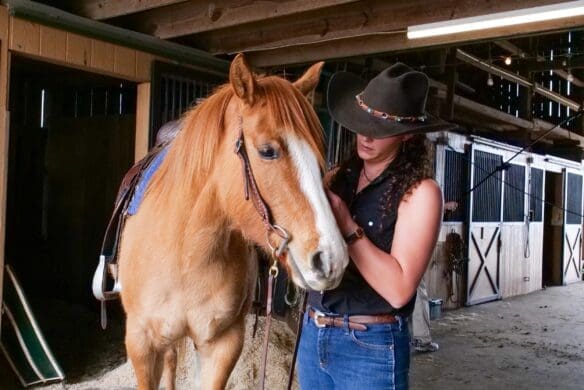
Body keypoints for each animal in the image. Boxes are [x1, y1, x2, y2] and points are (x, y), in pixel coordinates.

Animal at [116, 52, 350, 390]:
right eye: (267, 151)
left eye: (319, 154)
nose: (331, 260)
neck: (186, 251)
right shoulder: (141, 344)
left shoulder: (223, 343)